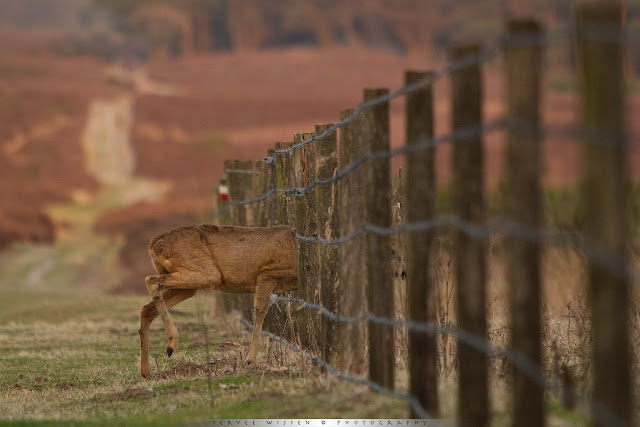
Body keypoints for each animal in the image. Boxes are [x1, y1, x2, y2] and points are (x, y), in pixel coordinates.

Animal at [138, 224, 298, 378]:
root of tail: (153, 244)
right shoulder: (267, 273)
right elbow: (260, 313)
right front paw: (249, 360)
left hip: (188, 285)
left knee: (147, 308)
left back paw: (146, 372)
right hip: (206, 273)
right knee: (151, 281)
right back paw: (171, 343)